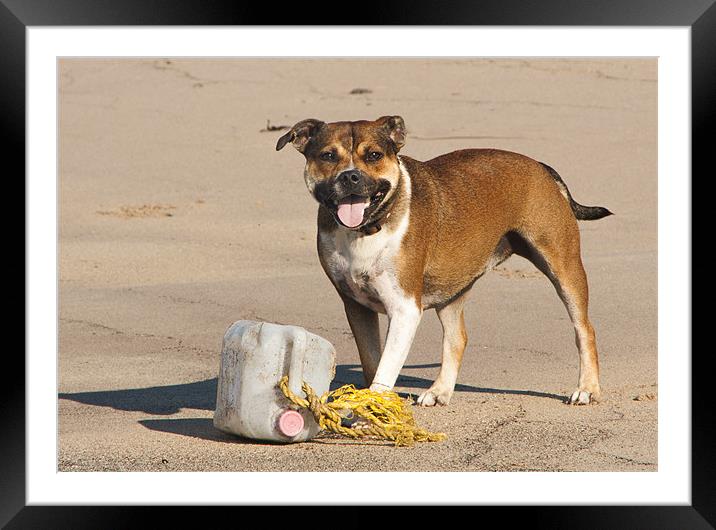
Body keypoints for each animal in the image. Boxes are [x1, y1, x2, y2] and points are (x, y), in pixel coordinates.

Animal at [276, 115, 608, 404]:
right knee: (457, 338)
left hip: (563, 267)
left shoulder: (405, 309)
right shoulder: (356, 307)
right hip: (453, 287)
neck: (368, 229)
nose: (350, 176)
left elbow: (385, 368)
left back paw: (587, 389)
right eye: (328, 156)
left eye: (373, 155)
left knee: (584, 329)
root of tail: (539, 166)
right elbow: (372, 363)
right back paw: (440, 391)